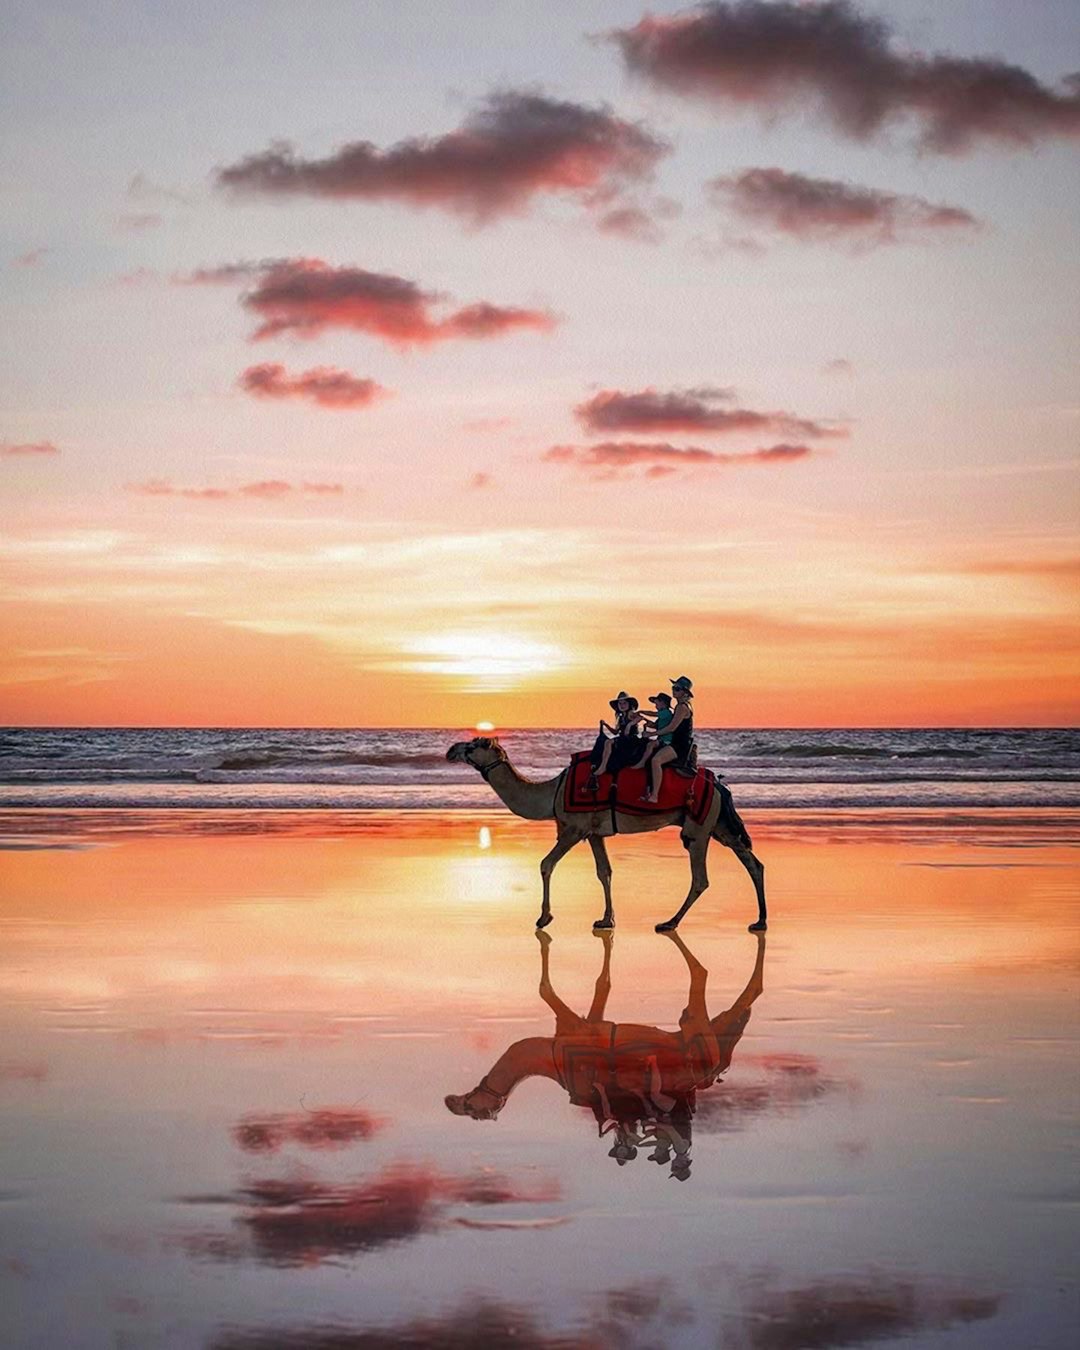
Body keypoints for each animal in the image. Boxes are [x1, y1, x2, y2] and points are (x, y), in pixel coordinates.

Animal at [442, 928, 761, 1182]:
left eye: (472, 1110)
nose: (450, 1102)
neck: (549, 1060)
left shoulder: (576, 1025)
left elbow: (547, 989)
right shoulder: (591, 1020)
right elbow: (601, 985)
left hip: (697, 1035)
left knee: (704, 979)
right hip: (701, 1037)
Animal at [448, 739, 766, 928]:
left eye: (474, 744)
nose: (451, 749)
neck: (553, 792)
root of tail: (720, 786)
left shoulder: (575, 828)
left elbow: (546, 864)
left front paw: (544, 917)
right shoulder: (594, 832)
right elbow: (605, 871)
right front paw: (606, 919)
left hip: (698, 828)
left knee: (701, 878)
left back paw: (669, 922)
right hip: (719, 826)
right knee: (753, 863)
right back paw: (760, 922)